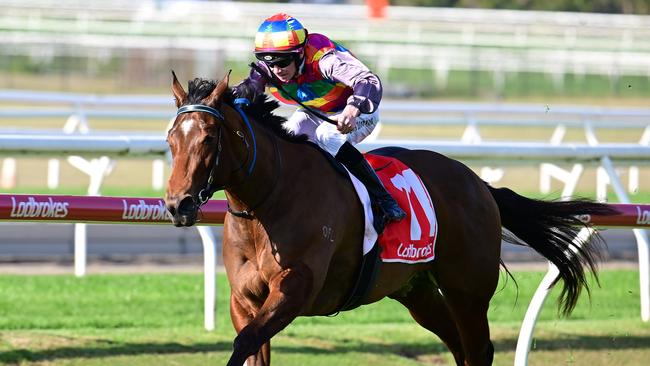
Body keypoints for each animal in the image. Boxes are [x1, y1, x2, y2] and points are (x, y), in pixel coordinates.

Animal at [165, 72, 616, 366]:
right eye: (171, 138)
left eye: (208, 137)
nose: (177, 204)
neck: (268, 199)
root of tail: (480, 184)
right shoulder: (245, 299)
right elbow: (249, 346)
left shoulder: (295, 290)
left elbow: (243, 344)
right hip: (416, 290)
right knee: (458, 346)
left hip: (468, 291)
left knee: (477, 350)